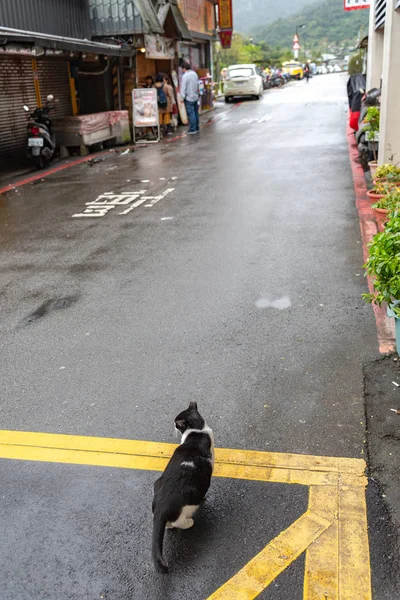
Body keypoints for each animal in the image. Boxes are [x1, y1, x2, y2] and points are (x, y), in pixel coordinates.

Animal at [151, 400, 214, 576]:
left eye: (176, 423)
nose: (172, 424)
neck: (197, 431)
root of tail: (161, 507)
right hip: (191, 502)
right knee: (180, 522)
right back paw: (190, 521)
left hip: (156, 485)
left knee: (168, 524)